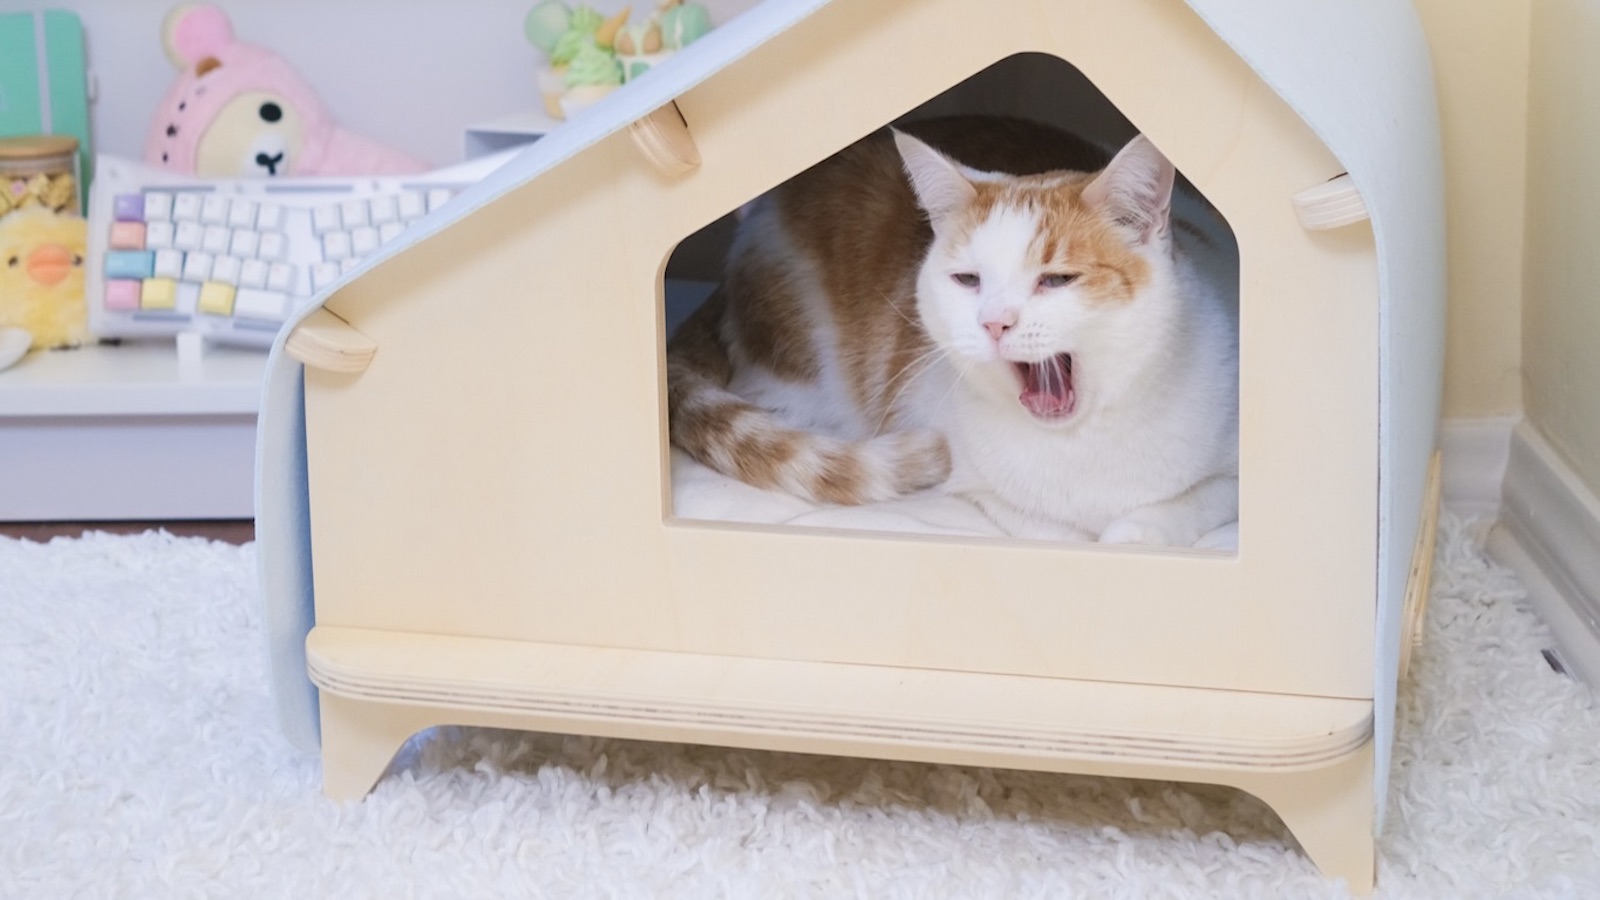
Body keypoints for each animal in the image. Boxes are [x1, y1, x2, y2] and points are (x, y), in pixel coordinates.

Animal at [667, 116, 1238, 547]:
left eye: (1057, 279)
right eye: (968, 280)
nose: (994, 321)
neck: (1081, 444)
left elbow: (1196, 502)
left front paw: (1135, 533)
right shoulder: (971, 471)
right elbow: (1040, 524)